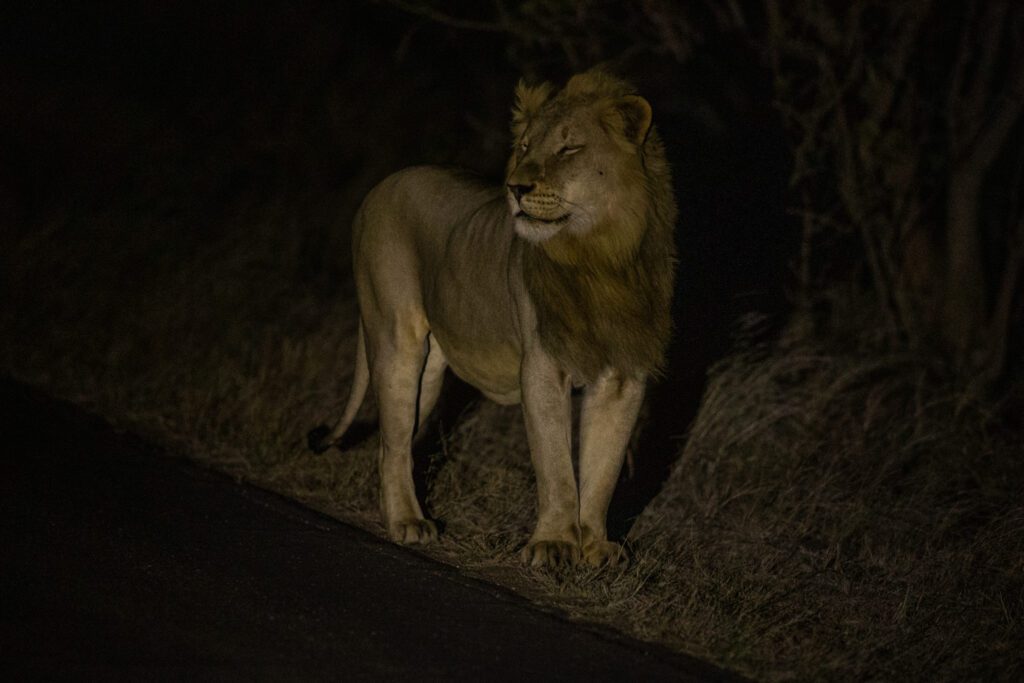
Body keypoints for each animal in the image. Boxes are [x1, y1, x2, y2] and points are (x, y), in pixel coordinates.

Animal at [311, 72, 679, 569]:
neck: (599, 256)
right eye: (524, 146)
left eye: (568, 149)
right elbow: (556, 464)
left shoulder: (624, 376)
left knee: (400, 438)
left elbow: (604, 467)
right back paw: (408, 522)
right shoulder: (542, 366)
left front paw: (595, 546)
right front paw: (554, 544)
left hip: (430, 367)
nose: (515, 188)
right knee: (392, 443)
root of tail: (382, 185)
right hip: (395, 338)